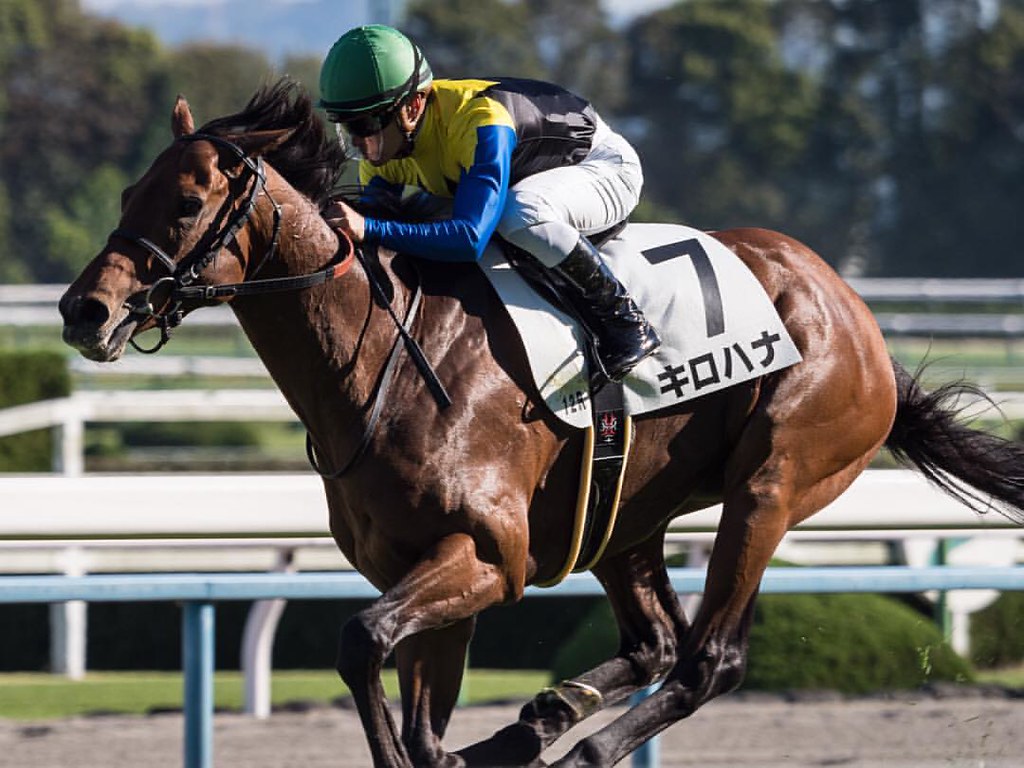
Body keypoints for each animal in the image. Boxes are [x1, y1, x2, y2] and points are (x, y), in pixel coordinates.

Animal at [59, 80, 1024, 767]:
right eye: (129, 189)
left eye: (187, 203)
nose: (84, 311)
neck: (382, 362)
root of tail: (855, 313)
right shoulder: (426, 564)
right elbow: (415, 720)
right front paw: (469, 744)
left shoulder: (490, 554)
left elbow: (360, 639)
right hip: (625, 511)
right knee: (652, 642)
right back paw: (539, 719)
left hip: (774, 484)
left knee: (709, 658)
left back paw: (581, 744)